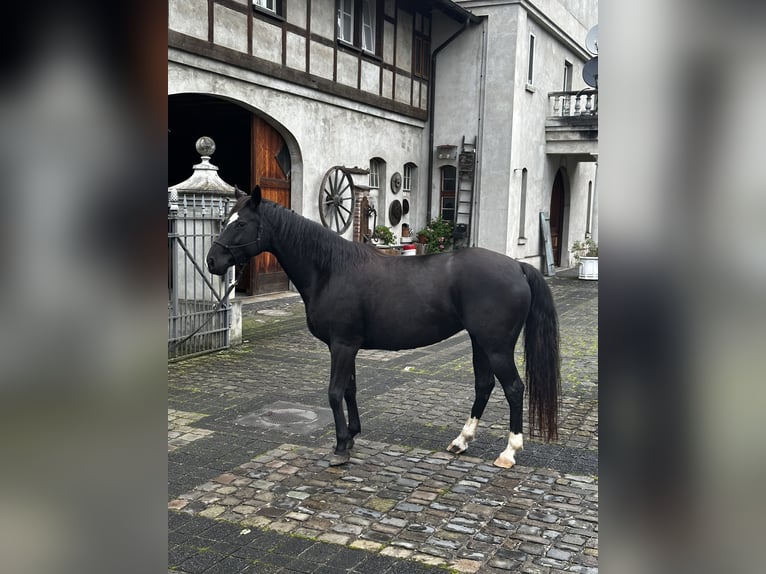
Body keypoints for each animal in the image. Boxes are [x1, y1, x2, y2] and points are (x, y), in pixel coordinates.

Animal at [207, 187, 560, 470]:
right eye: (227, 219)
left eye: (240, 223)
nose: (212, 261)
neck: (330, 269)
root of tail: (518, 266)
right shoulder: (346, 346)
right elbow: (349, 390)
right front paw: (351, 437)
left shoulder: (342, 344)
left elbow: (334, 393)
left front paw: (340, 448)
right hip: (479, 342)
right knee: (484, 385)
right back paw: (461, 441)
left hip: (496, 346)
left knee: (513, 388)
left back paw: (508, 453)